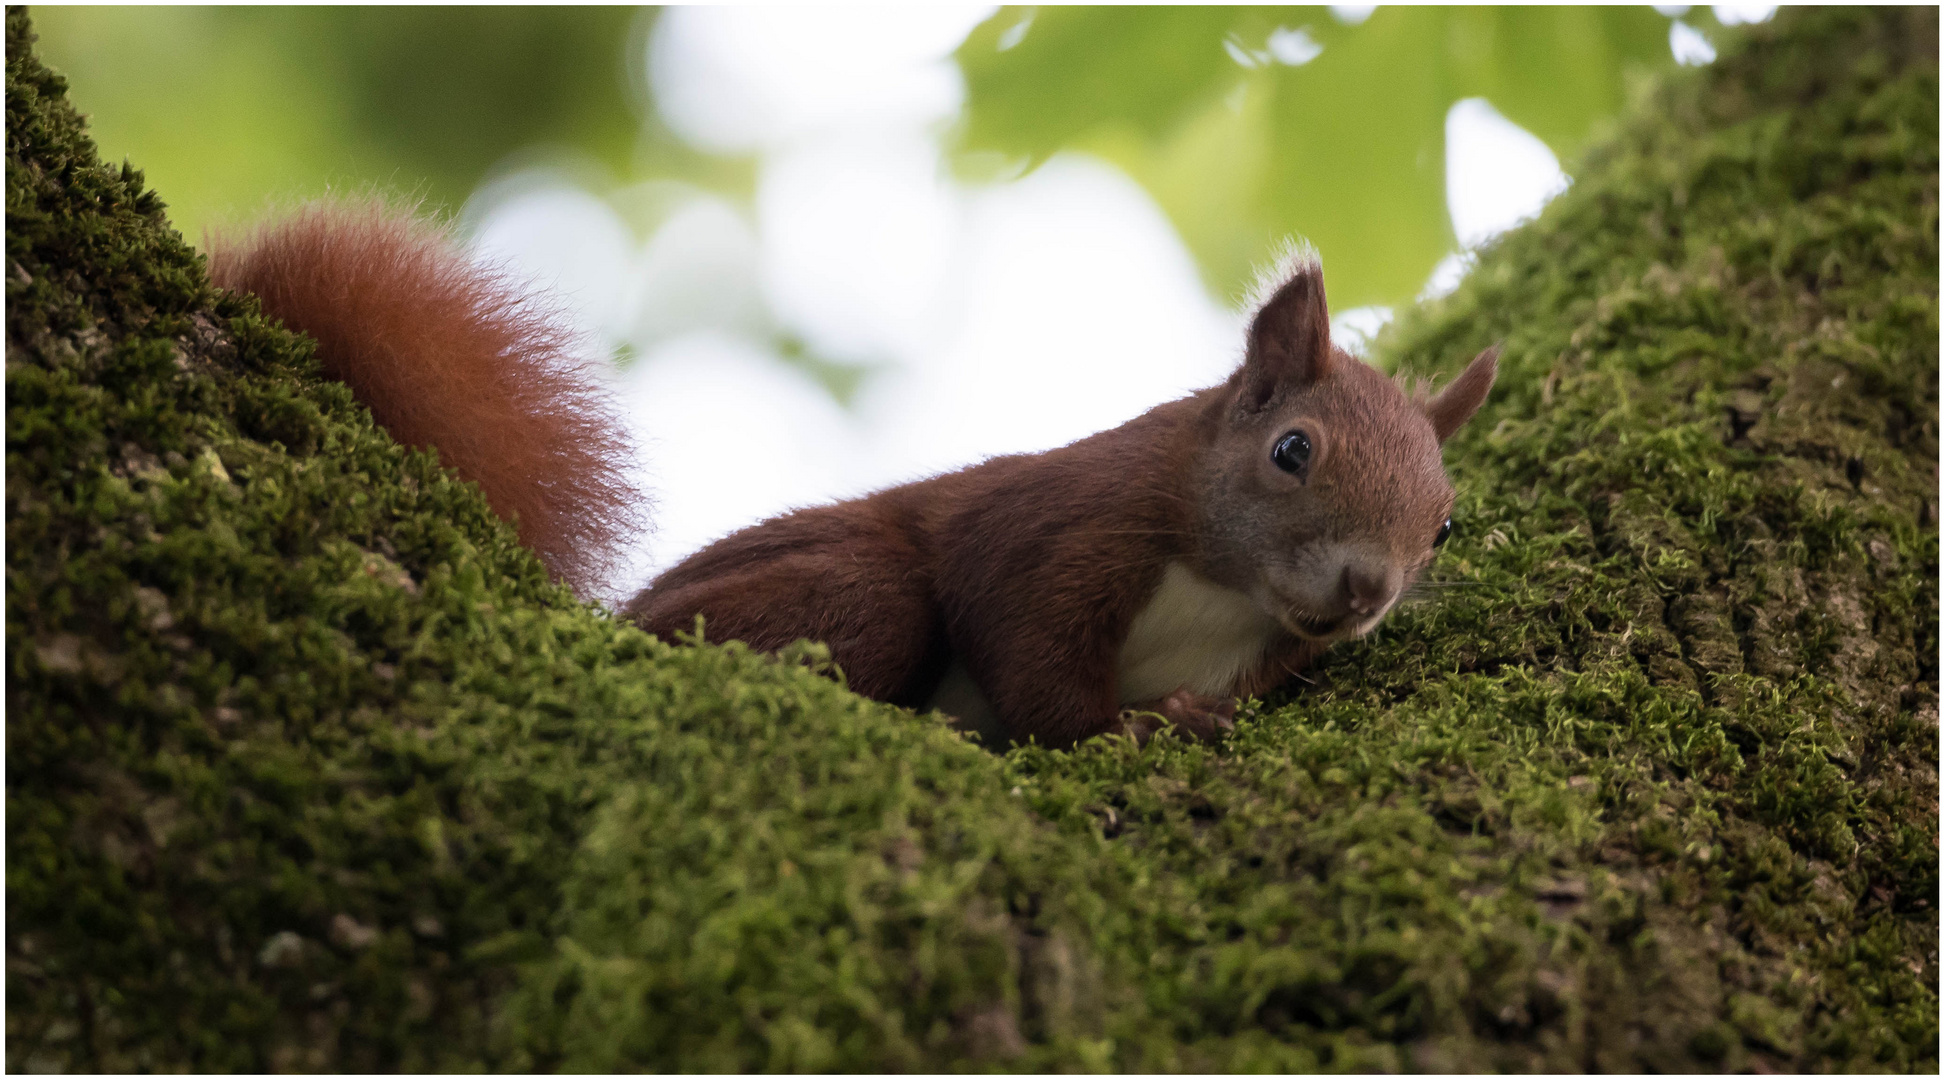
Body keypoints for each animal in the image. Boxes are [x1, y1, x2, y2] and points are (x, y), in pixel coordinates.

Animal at [212, 202, 1492, 745]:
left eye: (1442, 525)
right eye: (1292, 452)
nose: (1365, 594)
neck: (1221, 591)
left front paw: (1187, 713)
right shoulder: (1063, 531)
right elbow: (1027, 652)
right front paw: (1112, 734)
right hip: (847, 588)